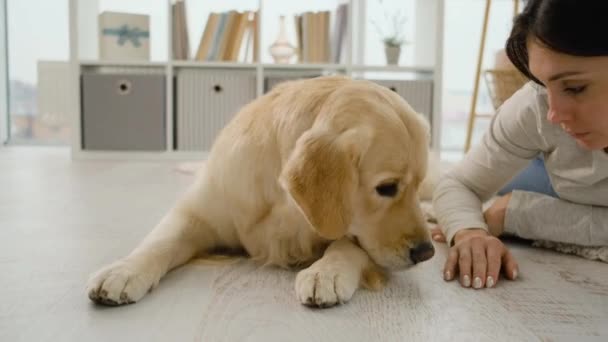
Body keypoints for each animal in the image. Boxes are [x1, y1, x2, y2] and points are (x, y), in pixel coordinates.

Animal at [86, 75, 436, 308]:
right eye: (386, 188)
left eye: (414, 184)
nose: (427, 253)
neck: (283, 203)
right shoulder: (197, 213)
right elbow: (159, 242)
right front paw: (124, 270)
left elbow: (348, 244)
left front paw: (326, 272)